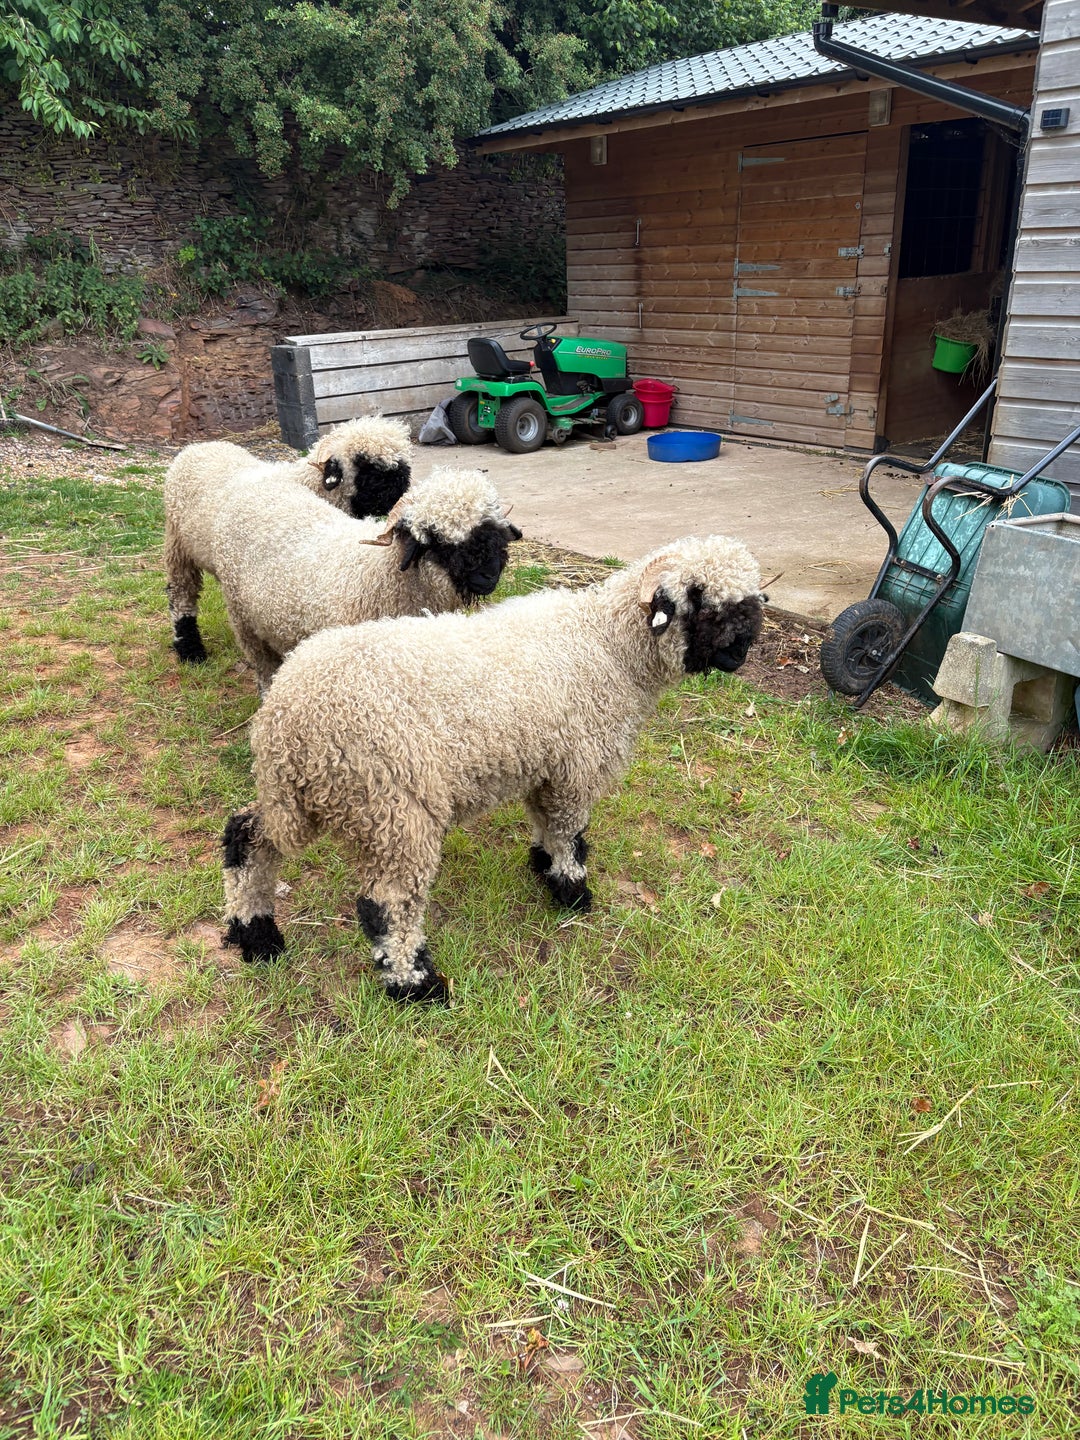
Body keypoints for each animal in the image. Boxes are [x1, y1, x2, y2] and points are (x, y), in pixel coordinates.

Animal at [220, 534, 765, 1004]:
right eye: (708, 606)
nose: (739, 655)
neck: (607, 647)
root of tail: (285, 719)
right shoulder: (576, 766)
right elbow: (569, 834)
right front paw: (572, 891)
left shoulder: (547, 764)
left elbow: (547, 823)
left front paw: (542, 865)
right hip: (394, 809)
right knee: (389, 906)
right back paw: (416, 986)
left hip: (310, 798)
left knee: (248, 839)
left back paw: (257, 936)